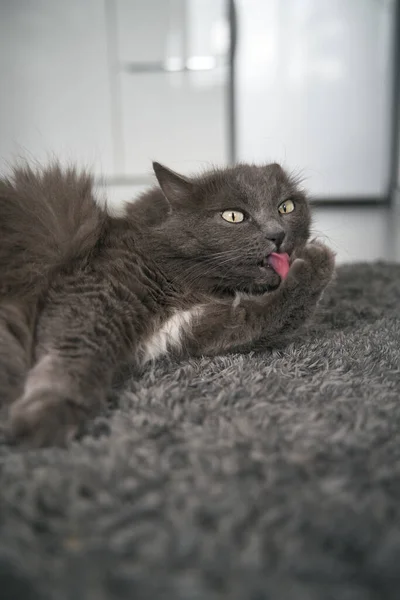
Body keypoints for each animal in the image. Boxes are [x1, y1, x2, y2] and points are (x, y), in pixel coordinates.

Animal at [0, 159, 336, 446]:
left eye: (286, 206)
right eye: (233, 216)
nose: (277, 234)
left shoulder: (182, 327)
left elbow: (260, 319)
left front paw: (317, 263)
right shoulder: (92, 291)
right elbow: (75, 351)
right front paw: (47, 416)